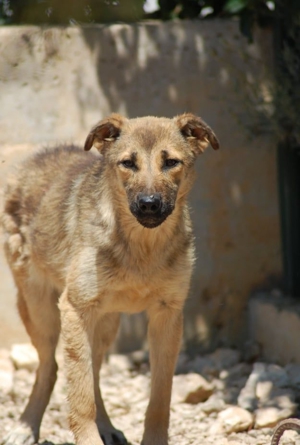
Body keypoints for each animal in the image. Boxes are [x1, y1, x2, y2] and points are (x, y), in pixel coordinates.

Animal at [1, 113, 219, 444]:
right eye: (128, 163)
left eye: (171, 162)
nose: (149, 204)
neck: (142, 248)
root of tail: (38, 156)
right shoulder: (75, 309)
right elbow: (81, 398)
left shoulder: (167, 316)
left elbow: (160, 395)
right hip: (40, 310)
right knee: (51, 367)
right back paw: (26, 426)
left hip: (106, 324)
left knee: (92, 374)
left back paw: (105, 427)